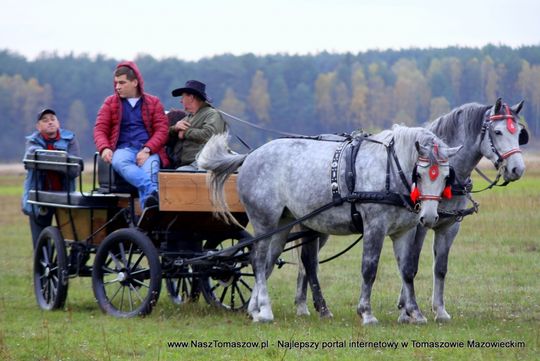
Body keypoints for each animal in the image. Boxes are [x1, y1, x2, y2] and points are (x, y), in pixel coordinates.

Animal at [198, 125, 460, 322]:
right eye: (419, 174)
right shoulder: (374, 226)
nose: (429, 217)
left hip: (284, 223)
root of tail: (250, 155)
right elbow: (369, 268)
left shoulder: (403, 231)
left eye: (446, 176)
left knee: (268, 261)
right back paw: (265, 311)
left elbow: (406, 270)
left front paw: (415, 313)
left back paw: (255, 309)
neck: (390, 171)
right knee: (258, 260)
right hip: (265, 221)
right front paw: (366, 313)